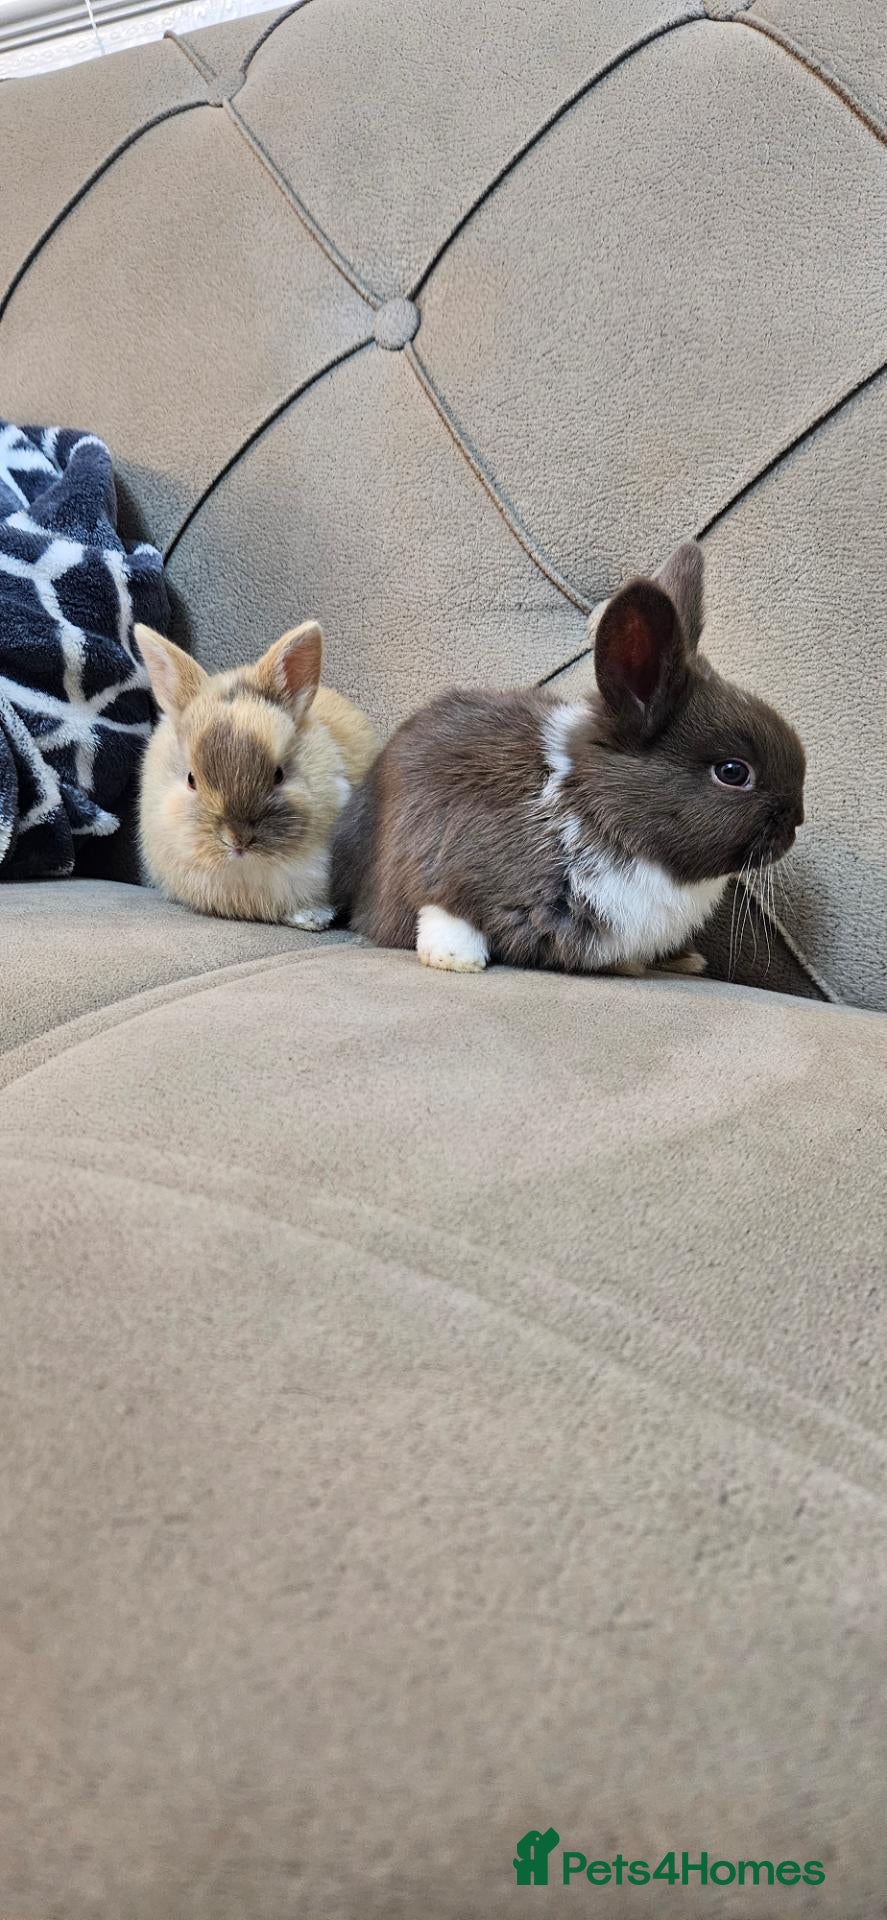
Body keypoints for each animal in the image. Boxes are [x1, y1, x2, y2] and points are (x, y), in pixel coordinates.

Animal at [330, 542, 805, 976]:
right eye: (733, 772)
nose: (795, 822)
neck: (592, 809)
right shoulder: (440, 848)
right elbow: (443, 907)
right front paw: (455, 958)